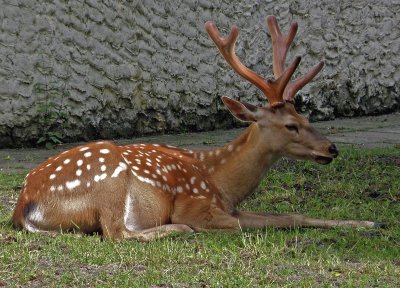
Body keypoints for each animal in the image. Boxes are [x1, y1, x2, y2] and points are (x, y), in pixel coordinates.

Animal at [11, 15, 378, 241]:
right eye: (291, 126)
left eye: (307, 119)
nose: (331, 148)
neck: (221, 183)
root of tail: (24, 206)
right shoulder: (197, 205)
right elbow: (247, 225)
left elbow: (291, 216)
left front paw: (367, 222)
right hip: (110, 180)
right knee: (116, 233)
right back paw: (178, 230)